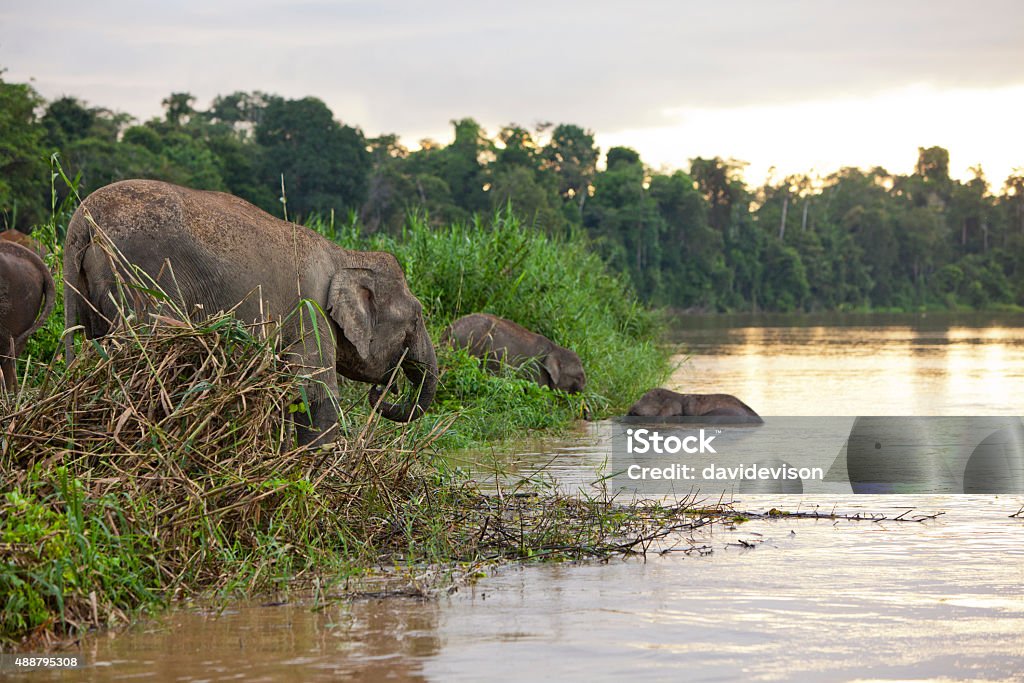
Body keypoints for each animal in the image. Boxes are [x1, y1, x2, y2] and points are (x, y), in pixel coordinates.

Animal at [62, 179, 440, 446]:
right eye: (416, 318)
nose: (384, 391)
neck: (345, 255)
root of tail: (82, 221)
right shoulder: (310, 310)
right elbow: (315, 393)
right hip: (142, 280)